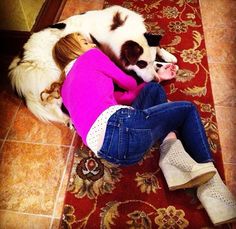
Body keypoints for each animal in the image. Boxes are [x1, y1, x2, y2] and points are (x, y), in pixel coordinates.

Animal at [8, 5, 176, 125]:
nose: (155, 80)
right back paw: (68, 120)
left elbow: (158, 48)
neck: (118, 27)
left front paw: (167, 57)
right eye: (141, 64)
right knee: (54, 106)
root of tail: (20, 63)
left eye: (150, 61)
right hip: (53, 74)